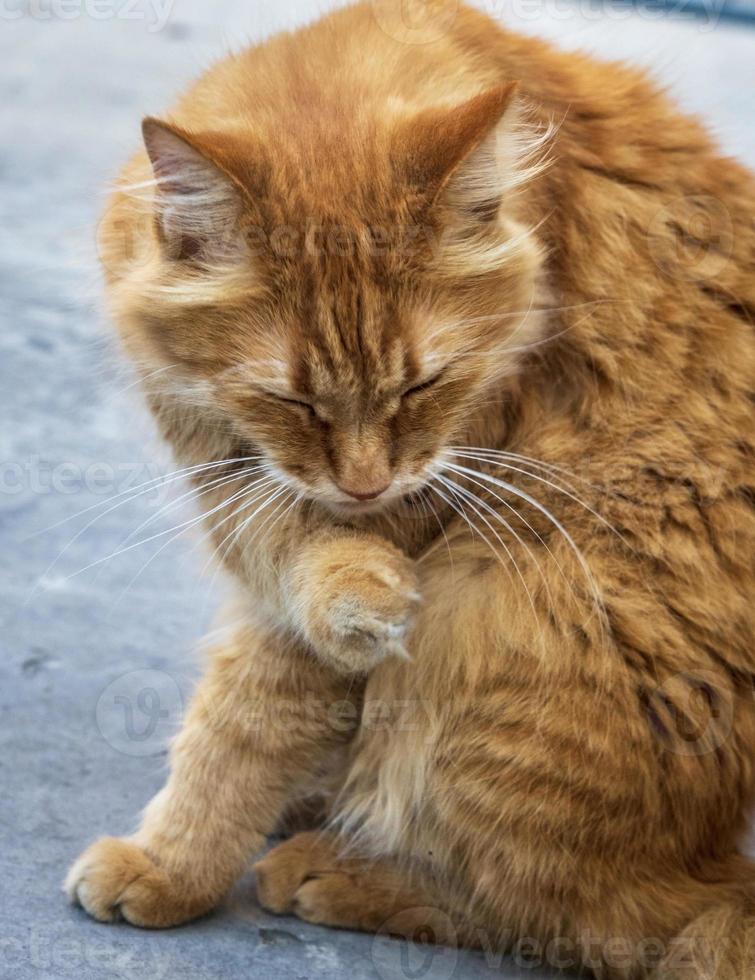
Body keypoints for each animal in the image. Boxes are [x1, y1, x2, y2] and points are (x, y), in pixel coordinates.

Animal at [66, 3, 755, 976]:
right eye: (293, 400)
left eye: (423, 386)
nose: (364, 485)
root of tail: (725, 858)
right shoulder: (236, 481)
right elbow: (287, 586)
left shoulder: (410, 508)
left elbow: (244, 721)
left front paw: (168, 866)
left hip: (498, 605)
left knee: (600, 915)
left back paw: (339, 871)